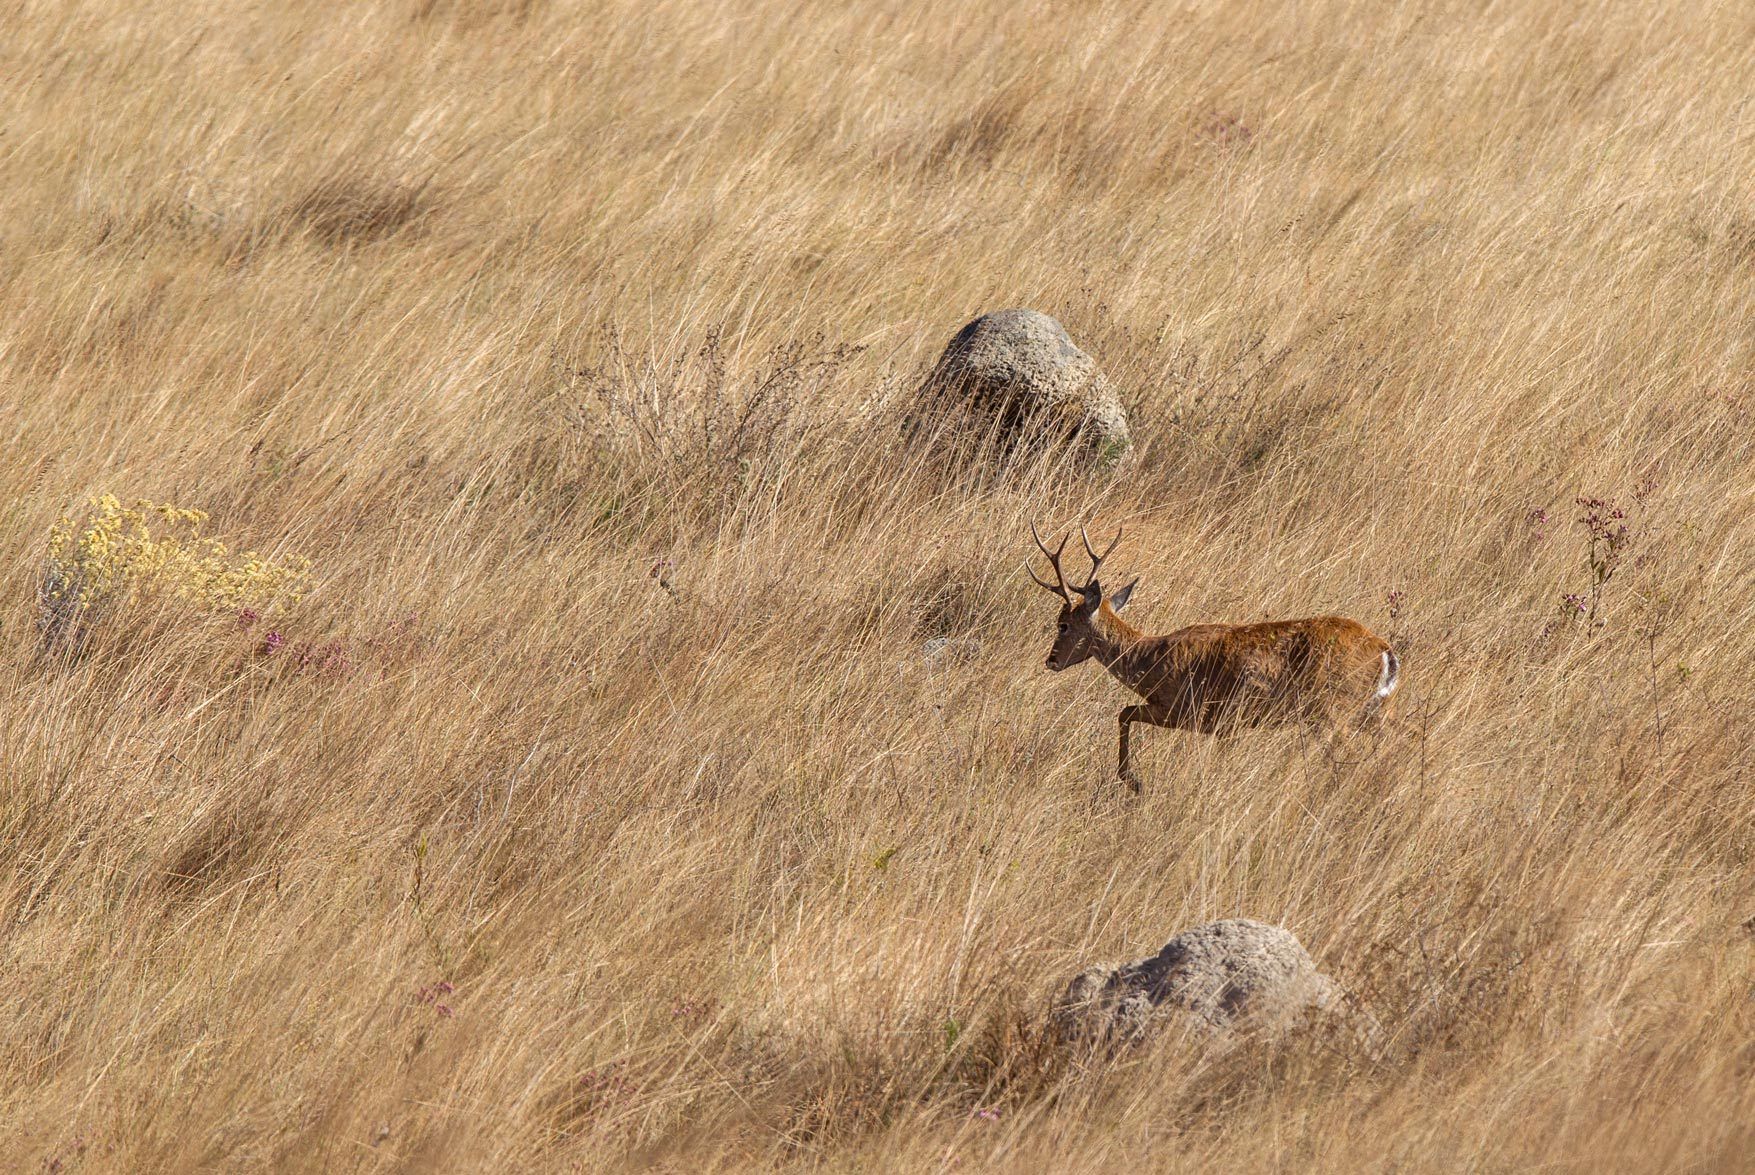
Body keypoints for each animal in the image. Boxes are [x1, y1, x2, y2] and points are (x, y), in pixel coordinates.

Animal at [1028, 523, 1399, 792]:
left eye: (1063, 624)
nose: (1051, 660)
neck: (1149, 659)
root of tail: (1384, 651)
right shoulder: (1223, 725)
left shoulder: (1184, 709)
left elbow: (1123, 713)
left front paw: (1133, 781)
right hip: (1374, 711)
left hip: (1334, 707)